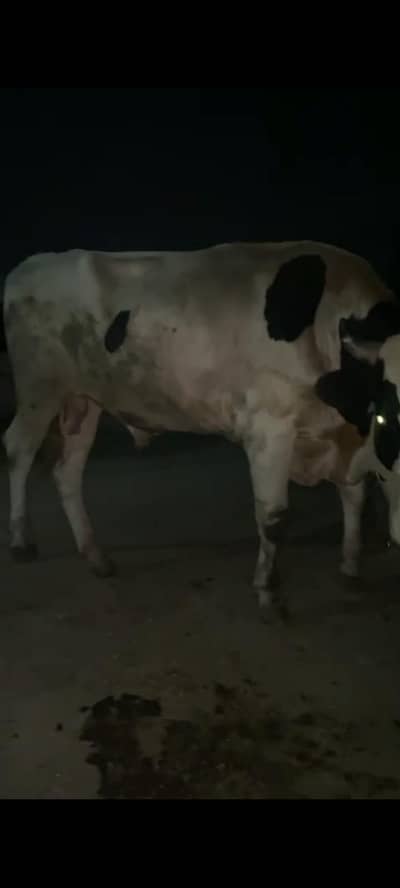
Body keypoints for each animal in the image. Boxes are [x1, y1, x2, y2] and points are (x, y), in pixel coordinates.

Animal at [2, 242, 400, 620]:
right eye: (387, 416)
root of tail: (30, 265)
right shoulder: (269, 430)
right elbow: (273, 518)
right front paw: (269, 596)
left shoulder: (344, 438)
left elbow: (355, 498)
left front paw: (351, 569)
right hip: (39, 389)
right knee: (19, 450)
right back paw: (22, 542)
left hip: (83, 400)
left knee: (67, 471)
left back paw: (95, 556)